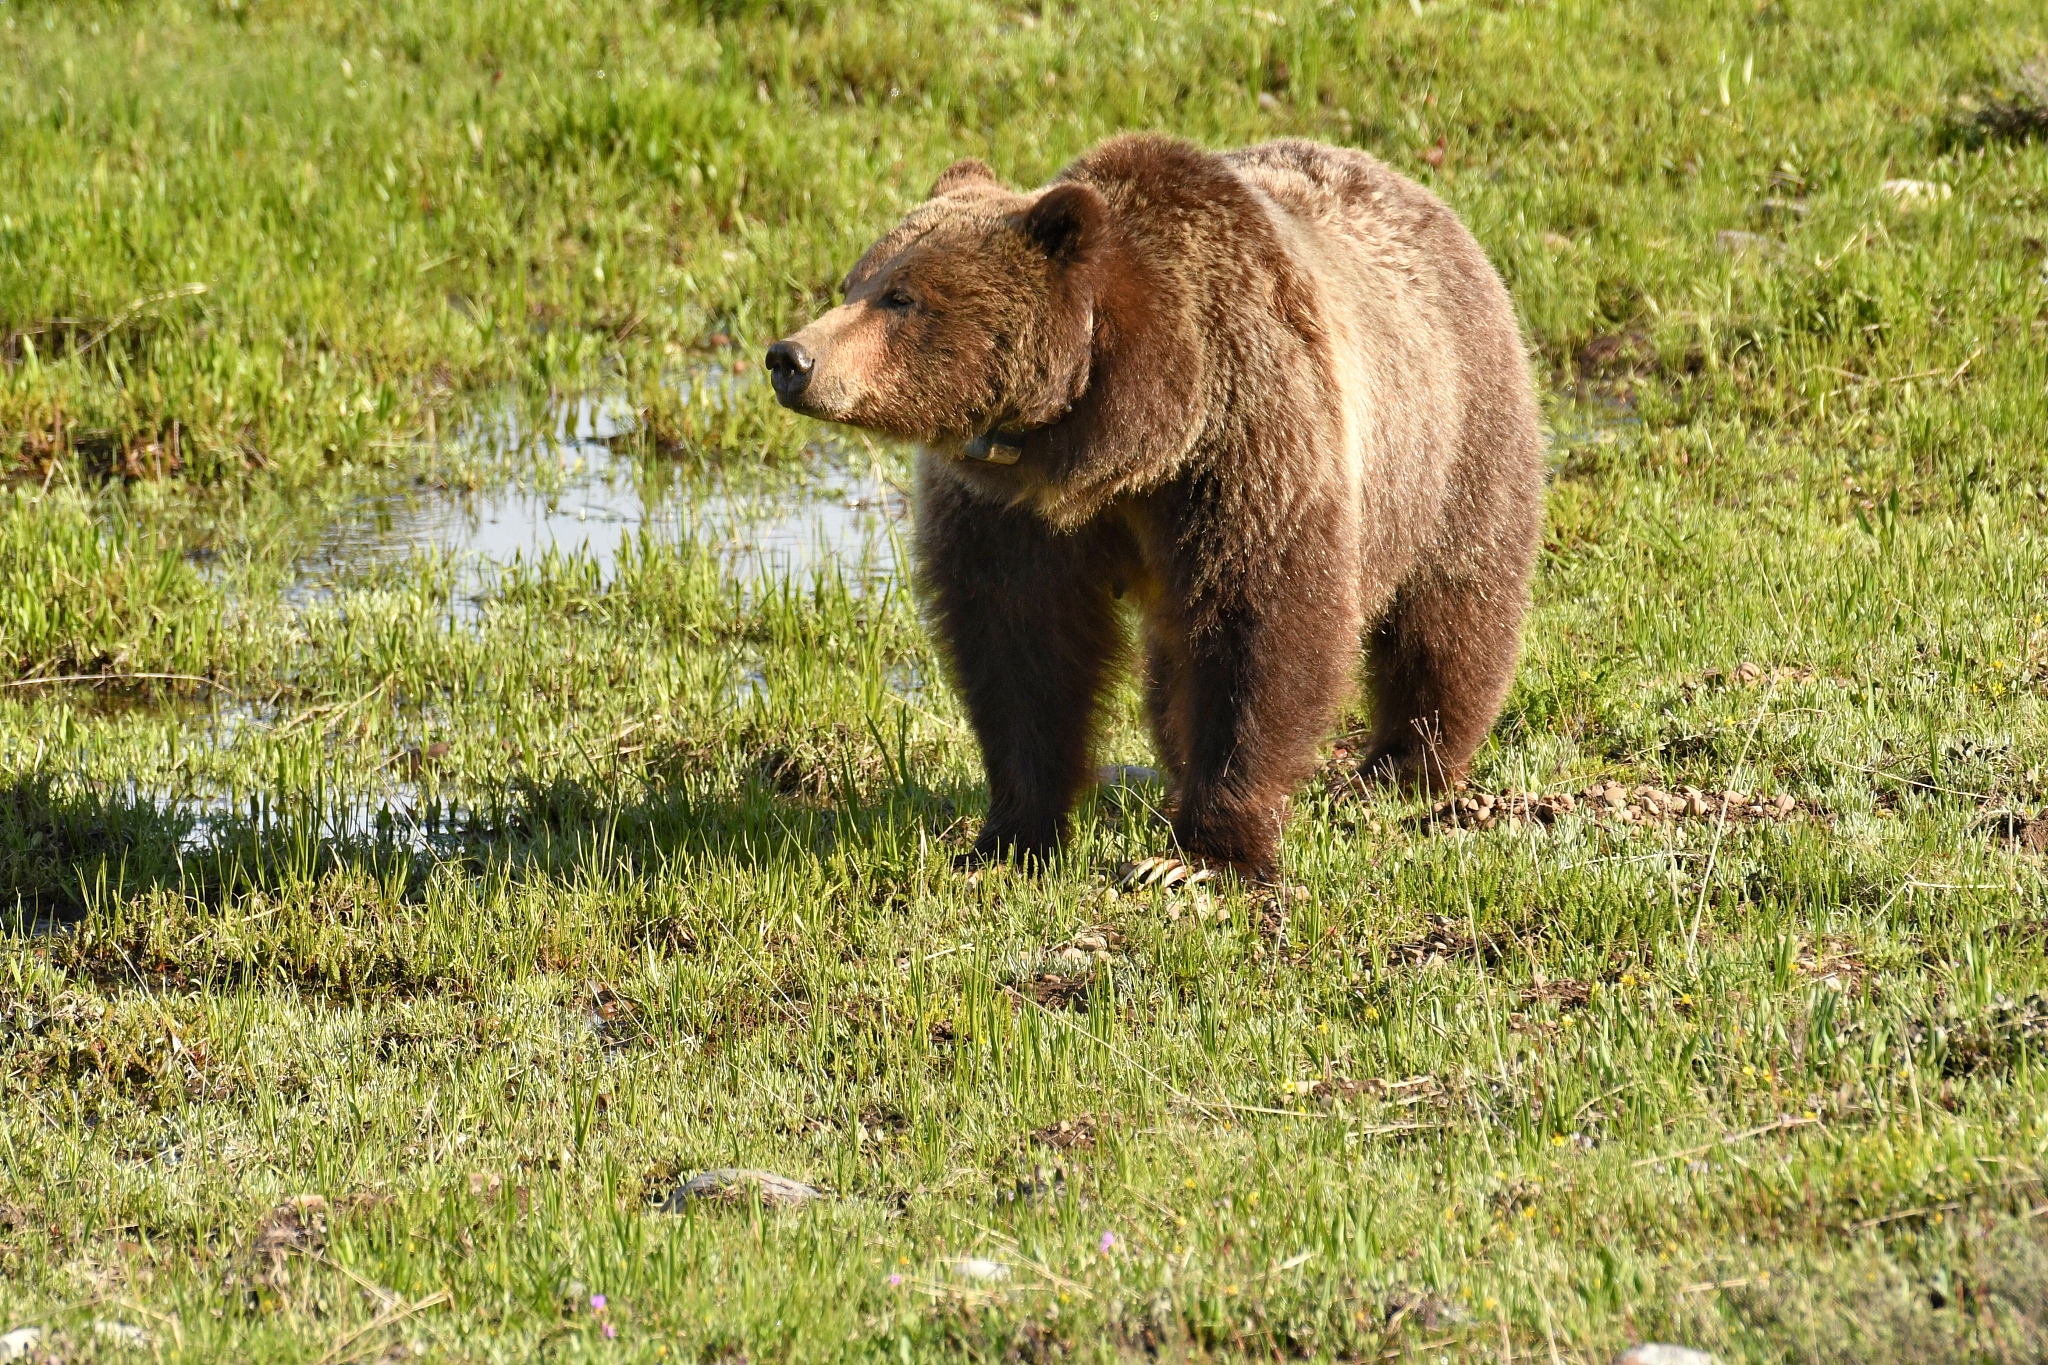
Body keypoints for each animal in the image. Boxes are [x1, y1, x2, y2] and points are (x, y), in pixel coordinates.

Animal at [764, 134, 1543, 882]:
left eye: (902, 296)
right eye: (855, 281)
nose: (790, 358)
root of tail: (1423, 196)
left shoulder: (1246, 442)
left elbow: (1263, 629)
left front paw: (1199, 856)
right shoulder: (1008, 509)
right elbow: (1019, 645)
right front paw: (1009, 834)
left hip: (1453, 442)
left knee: (1448, 614)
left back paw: (1402, 766)